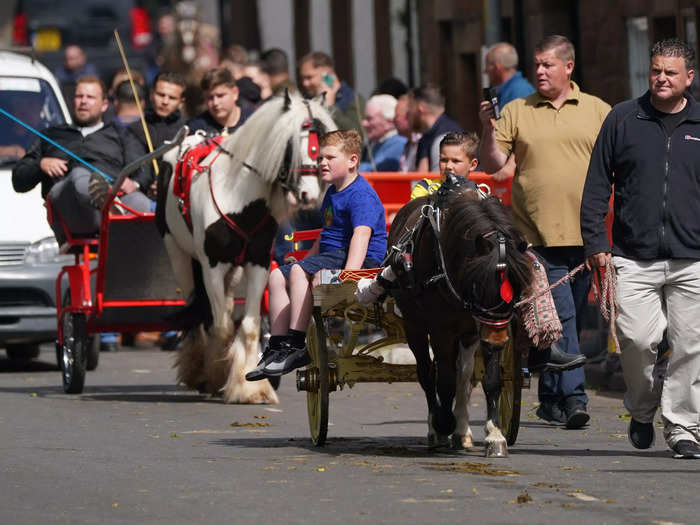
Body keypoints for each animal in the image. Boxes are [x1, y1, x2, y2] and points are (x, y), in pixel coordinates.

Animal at [161, 92, 336, 404]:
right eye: (292, 144)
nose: (309, 194)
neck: (237, 197)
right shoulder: (212, 266)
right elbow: (220, 326)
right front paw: (217, 377)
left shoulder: (257, 263)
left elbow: (251, 326)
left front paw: (250, 387)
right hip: (180, 256)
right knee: (199, 316)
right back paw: (198, 371)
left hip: (233, 271)